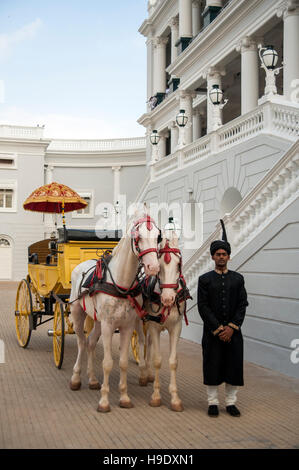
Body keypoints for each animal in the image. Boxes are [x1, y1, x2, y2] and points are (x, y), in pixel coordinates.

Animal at [69, 209, 161, 412]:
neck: (121, 284)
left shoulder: (127, 326)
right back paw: (76, 378)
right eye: (138, 236)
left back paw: (92, 379)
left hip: (97, 320)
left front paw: (124, 397)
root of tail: (81, 265)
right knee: (81, 343)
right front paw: (104, 401)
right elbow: (108, 363)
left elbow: (124, 363)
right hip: (78, 314)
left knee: (90, 343)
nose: (153, 267)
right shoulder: (108, 326)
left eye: (158, 236)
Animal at [141, 232, 190, 412]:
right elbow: (157, 360)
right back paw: (144, 373)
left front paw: (175, 398)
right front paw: (156, 396)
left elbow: (173, 361)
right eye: (160, 267)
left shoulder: (176, 327)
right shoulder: (154, 327)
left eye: (178, 265)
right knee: (143, 344)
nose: (168, 299)